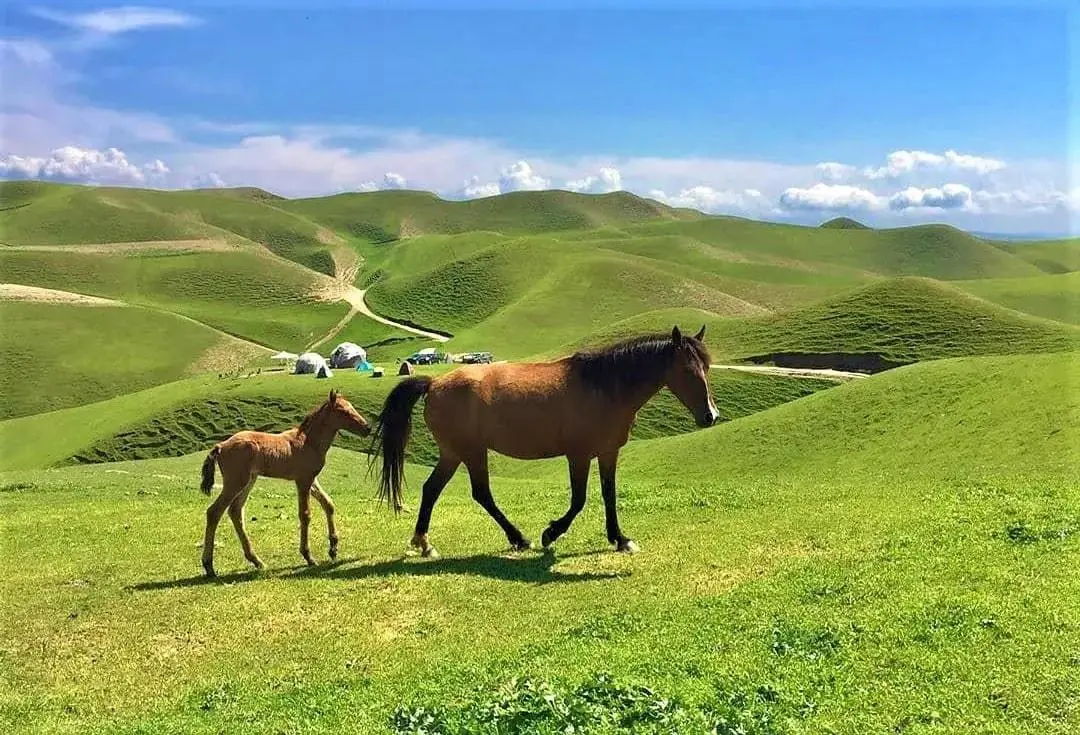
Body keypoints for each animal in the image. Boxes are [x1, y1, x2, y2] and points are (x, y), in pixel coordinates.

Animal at [198, 386, 371, 574]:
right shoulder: (303, 480)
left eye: (351, 407)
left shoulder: (311, 479)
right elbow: (305, 514)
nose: (367, 428)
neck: (309, 442)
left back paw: (257, 561)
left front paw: (333, 549)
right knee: (214, 512)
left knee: (235, 512)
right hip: (235, 482)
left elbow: (328, 504)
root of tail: (220, 446)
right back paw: (209, 566)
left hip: (248, 481)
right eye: (343, 411)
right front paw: (308, 556)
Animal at [369, 325, 717, 556]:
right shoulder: (578, 455)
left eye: (707, 366)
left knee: (432, 490)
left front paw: (620, 539)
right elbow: (579, 500)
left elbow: (609, 494)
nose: (710, 416)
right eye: (687, 371)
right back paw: (518, 538)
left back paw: (425, 543)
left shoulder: (608, 453)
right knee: (480, 493)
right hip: (470, 452)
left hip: (453, 454)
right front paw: (551, 533)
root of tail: (434, 383)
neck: (603, 387)